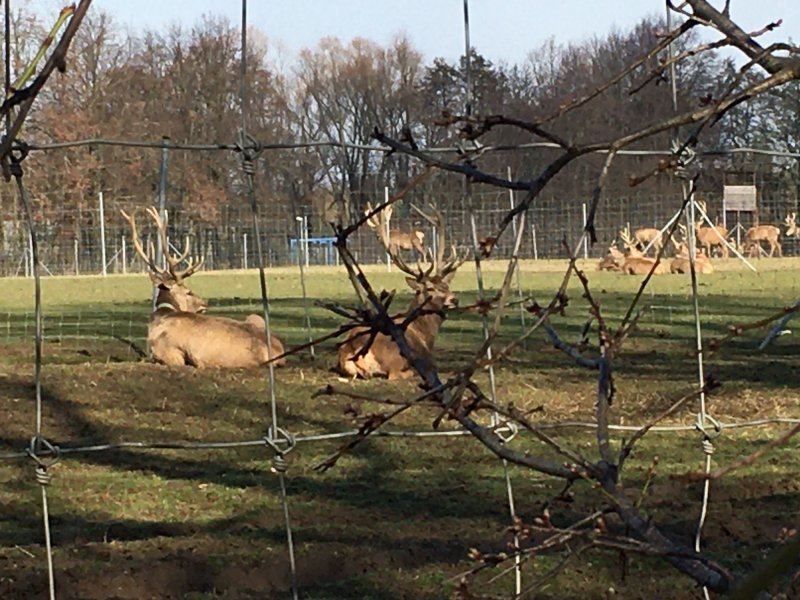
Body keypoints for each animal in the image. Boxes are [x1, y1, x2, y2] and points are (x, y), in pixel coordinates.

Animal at [338, 203, 468, 380]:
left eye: (447, 286)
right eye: (430, 288)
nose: (454, 300)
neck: (426, 335)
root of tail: (351, 350)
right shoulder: (428, 358)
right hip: (396, 359)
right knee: (397, 374)